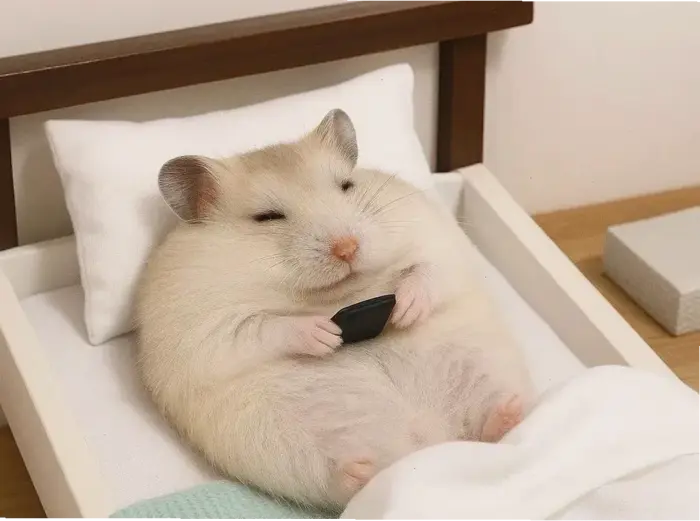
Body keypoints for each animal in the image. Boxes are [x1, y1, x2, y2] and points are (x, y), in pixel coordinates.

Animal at [135, 108, 534, 510]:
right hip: (278, 442)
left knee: (490, 424)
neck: (339, 294)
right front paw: (326, 335)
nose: (347, 248)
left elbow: (429, 271)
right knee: (336, 479)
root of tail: (429, 441)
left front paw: (405, 310)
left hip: (484, 364)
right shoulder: (206, 328)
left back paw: (508, 413)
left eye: (346, 185)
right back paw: (359, 473)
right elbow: (264, 327)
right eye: (267, 217)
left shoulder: (437, 241)